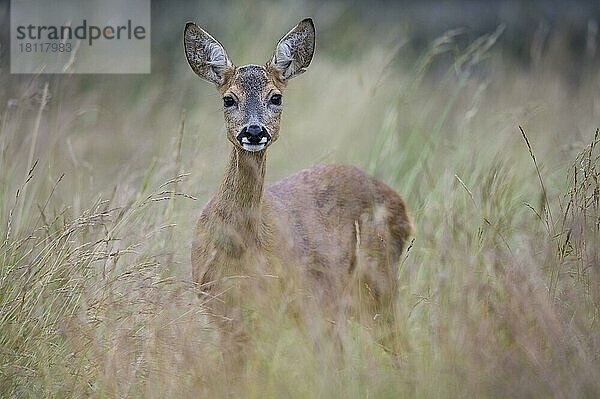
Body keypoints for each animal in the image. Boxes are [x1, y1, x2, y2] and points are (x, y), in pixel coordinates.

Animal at [185, 18, 414, 350]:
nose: (254, 131)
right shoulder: (224, 314)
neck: (241, 246)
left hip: (375, 283)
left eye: (276, 97)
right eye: (228, 99)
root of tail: (401, 204)